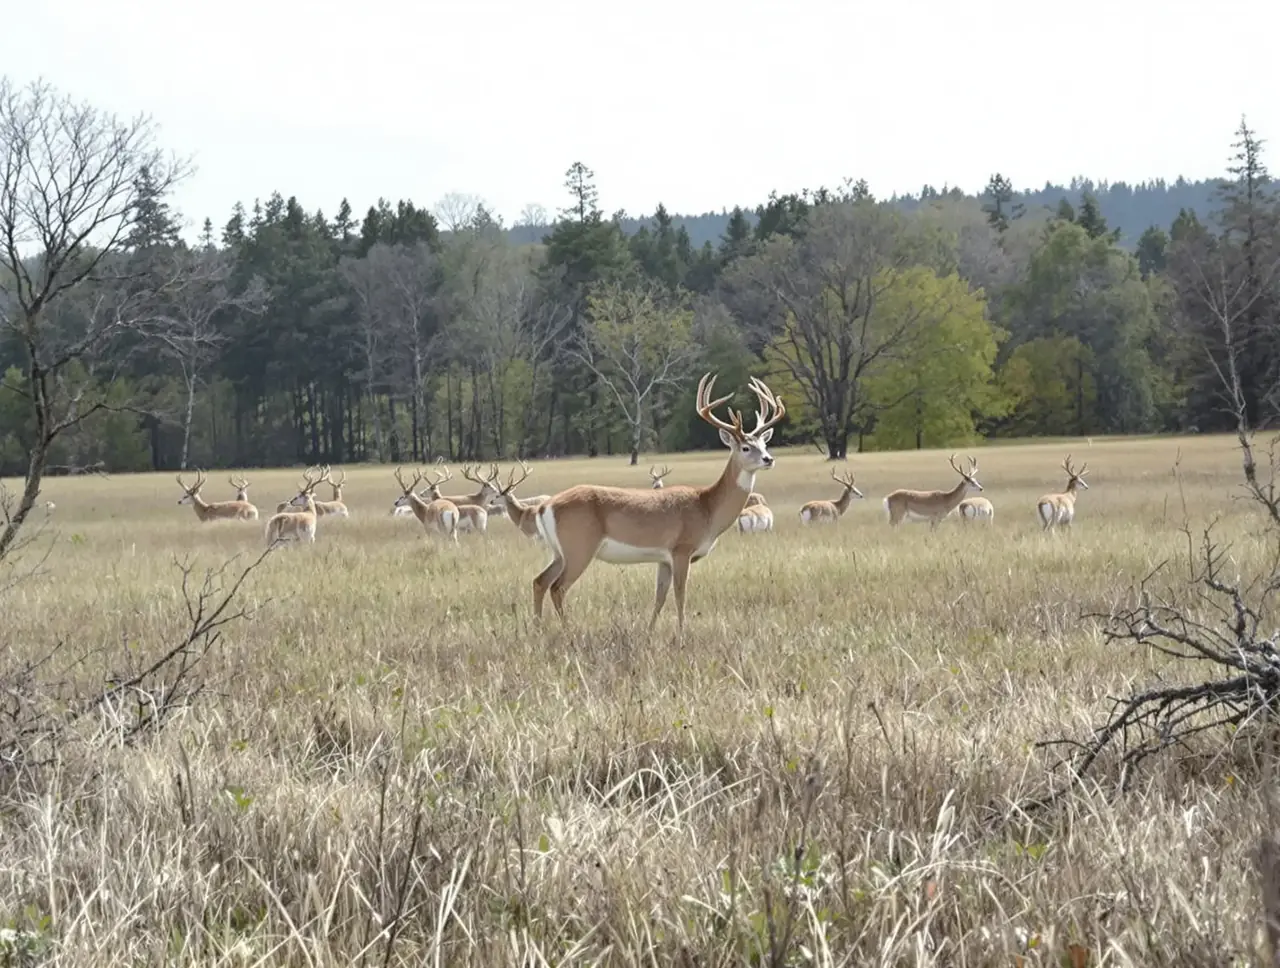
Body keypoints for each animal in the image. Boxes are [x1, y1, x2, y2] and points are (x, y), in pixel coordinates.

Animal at [531, 372, 786, 634]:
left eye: (764, 445)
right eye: (746, 447)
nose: (769, 459)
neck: (707, 508)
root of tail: (544, 507)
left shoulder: (663, 559)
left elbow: (660, 597)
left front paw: (650, 630)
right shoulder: (681, 549)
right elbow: (680, 594)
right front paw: (682, 632)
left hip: (560, 551)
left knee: (540, 581)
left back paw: (538, 627)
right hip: (579, 546)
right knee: (558, 587)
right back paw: (568, 629)